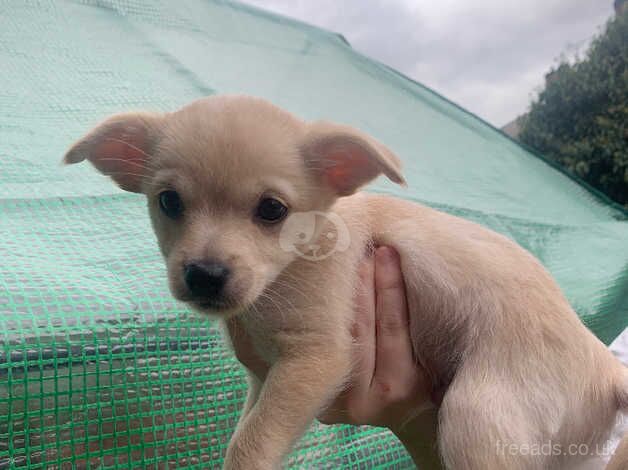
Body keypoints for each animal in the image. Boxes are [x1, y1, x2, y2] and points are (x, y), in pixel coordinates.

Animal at [65, 95, 628, 470]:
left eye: (272, 210)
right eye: (168, 202)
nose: (203, 276)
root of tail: (604, 367)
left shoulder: (317, 357)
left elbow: (250, 445)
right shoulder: (265, 378)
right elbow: (247, 429)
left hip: (479, 416)